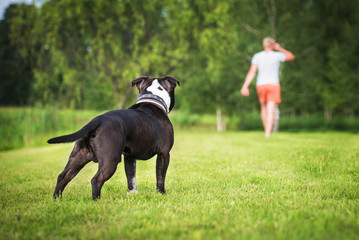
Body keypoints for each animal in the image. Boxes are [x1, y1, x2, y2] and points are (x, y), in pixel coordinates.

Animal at [48, 76, 180, 200]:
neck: (153, 98)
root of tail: (96, 121)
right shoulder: (164, 154)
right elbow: (160, 176)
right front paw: (161, 193)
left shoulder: (129, 157)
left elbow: (131, 177)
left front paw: (132, 194)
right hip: (110, 161)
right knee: (96, 180)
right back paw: (97, 201)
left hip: (78, 158)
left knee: (63, 177)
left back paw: (56, 199)